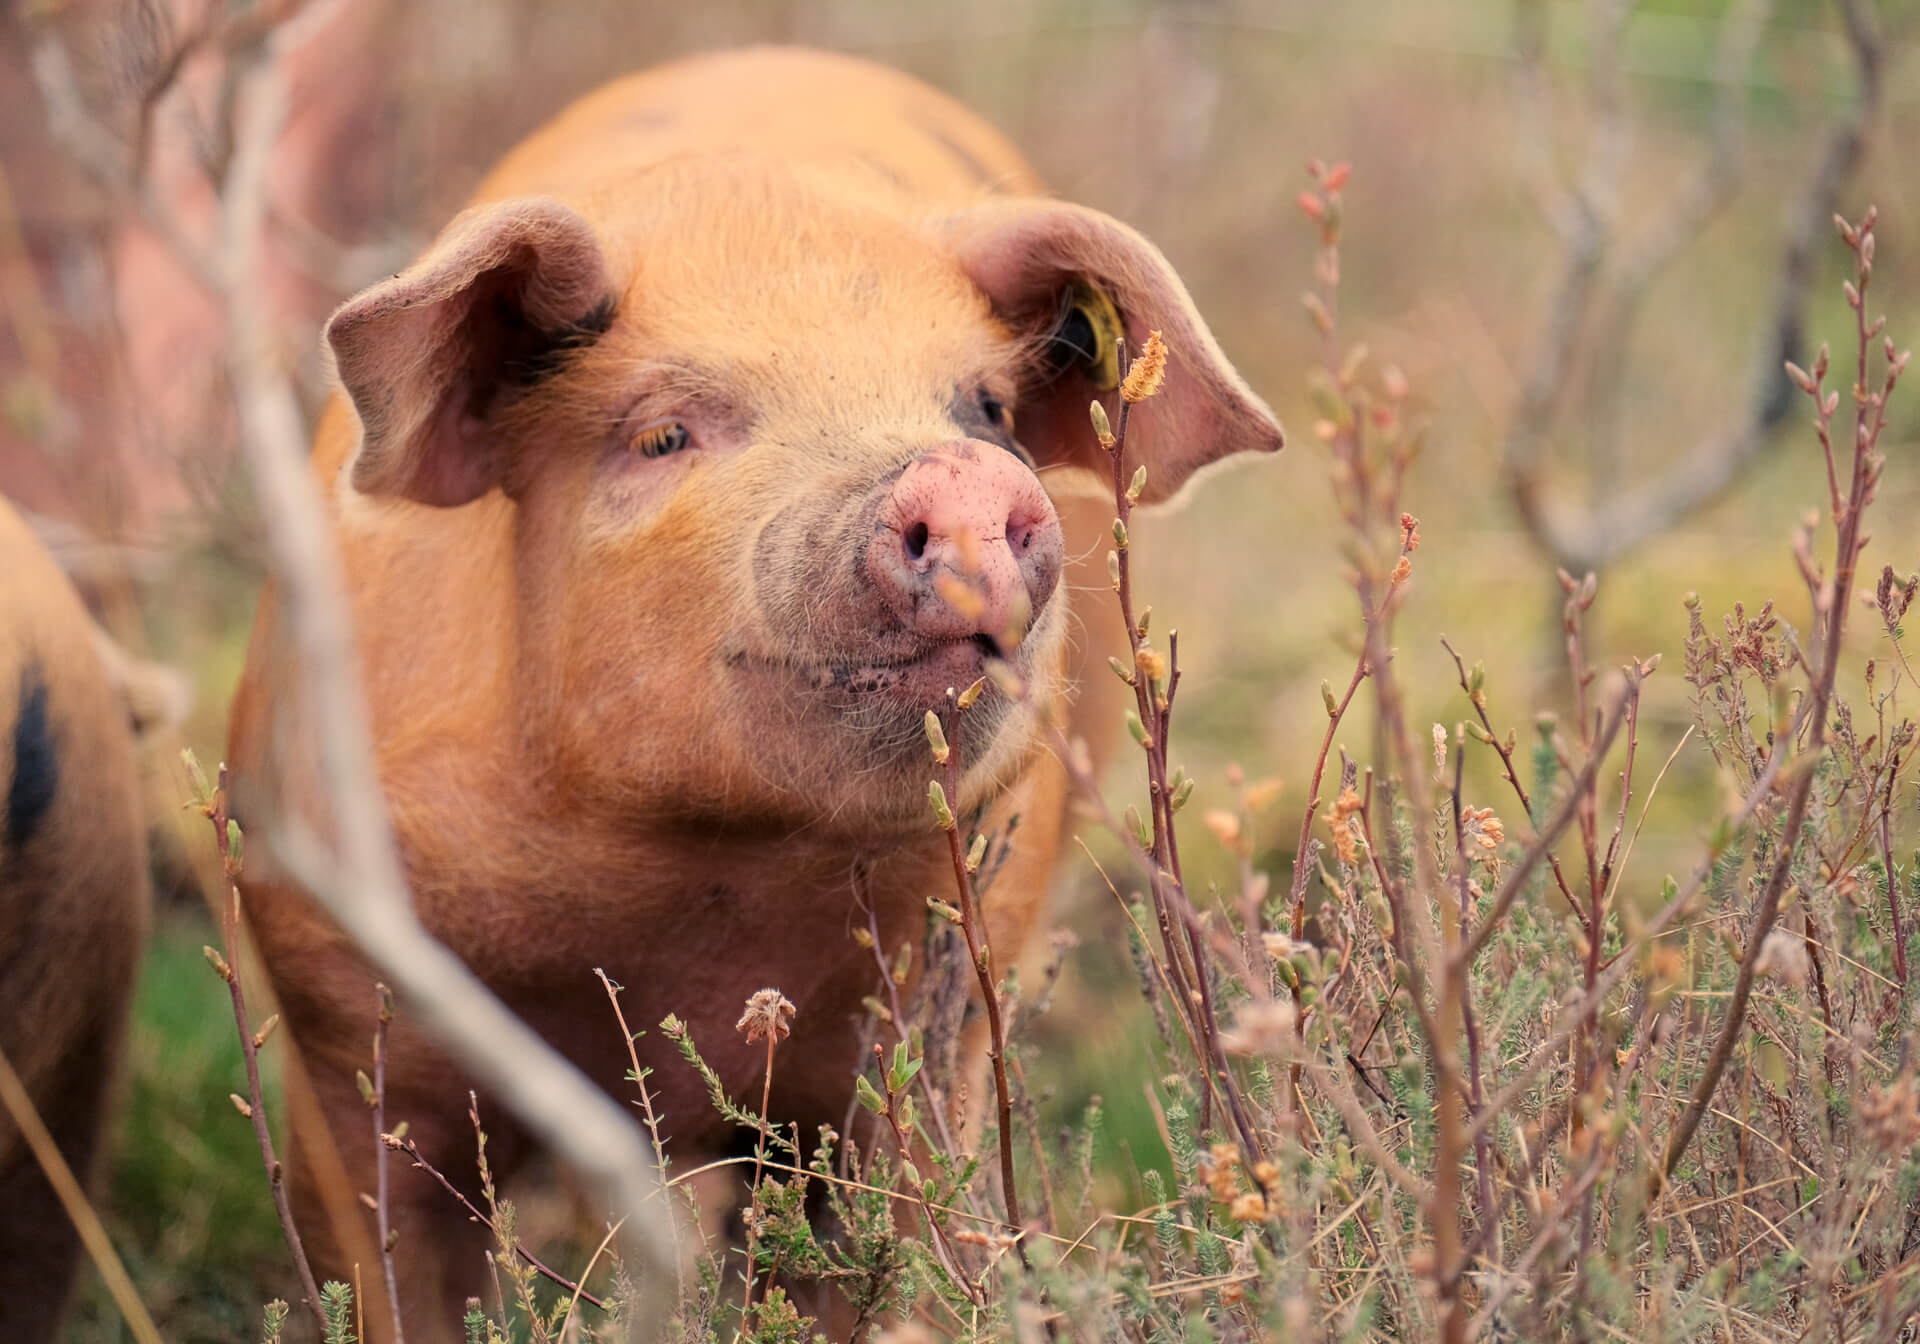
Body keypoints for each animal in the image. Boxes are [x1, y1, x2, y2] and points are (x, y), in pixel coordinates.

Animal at [224, 42, 1282, 1336]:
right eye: (664, 434)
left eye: (985, 409)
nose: (962, 477)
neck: (696, 894)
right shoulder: (334, 1001)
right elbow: (386, 1263)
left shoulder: (930, 1036)